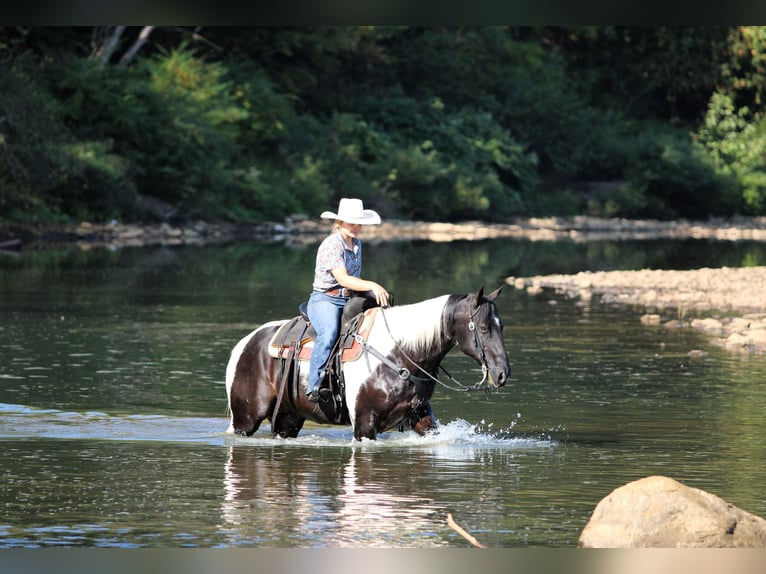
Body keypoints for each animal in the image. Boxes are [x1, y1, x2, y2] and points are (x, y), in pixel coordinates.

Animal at [225, 286, 511, 441]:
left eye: (501, 325)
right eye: (483, 328)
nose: (502, 375)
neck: (400, 353)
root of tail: (244, 343)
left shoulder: (420, 416)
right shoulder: (364, 423)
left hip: (288, 417)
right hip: (245, 419)